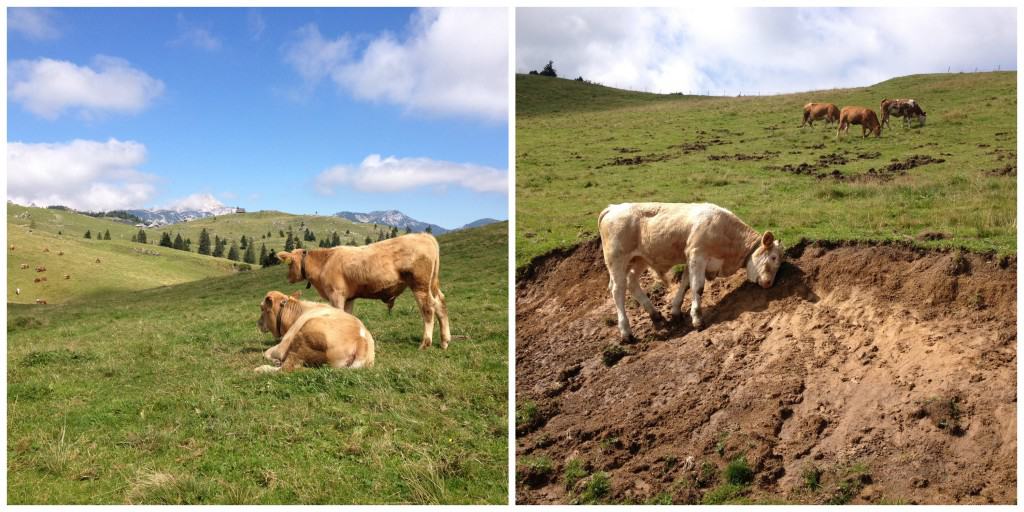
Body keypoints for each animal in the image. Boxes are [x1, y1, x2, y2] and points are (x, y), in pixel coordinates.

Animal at [274, 233, 450, 350]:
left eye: (289, 264)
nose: (288, 278)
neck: (324, 262)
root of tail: (424, 235)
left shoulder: (336, 295)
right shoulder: (349, 297)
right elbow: (348, 316)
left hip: (420, 285)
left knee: (428, 308)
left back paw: (425, 343)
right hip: (432, 284)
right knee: (440, 304)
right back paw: (444, 341)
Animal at [598, 201, 782, 342]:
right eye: (773, 257)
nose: (769, 283)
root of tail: (613, 207)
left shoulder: (690, 259)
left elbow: (686, 284)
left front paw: (675, 311)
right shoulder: (697, 255)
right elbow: (697, 287)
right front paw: (697, 319)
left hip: (639, 259)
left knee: (631, 282)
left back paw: (655, 314)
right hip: (617, 260)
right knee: (618, 290)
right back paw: (626, 332)